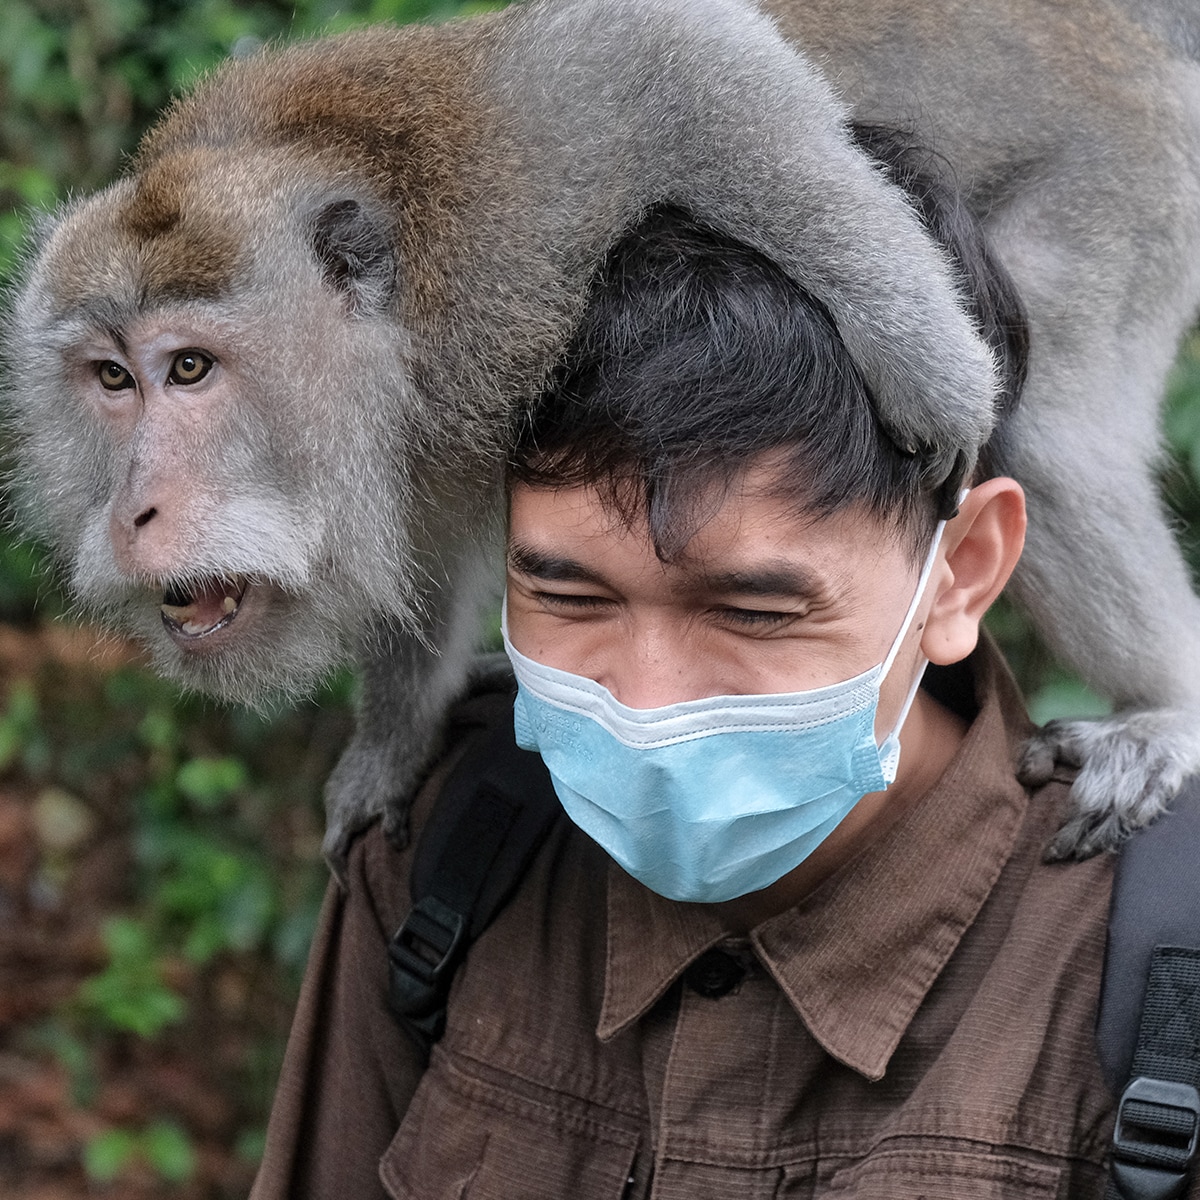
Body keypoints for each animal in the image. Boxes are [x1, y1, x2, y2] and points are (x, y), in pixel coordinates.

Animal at [2, 0, 1199, 874]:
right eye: (110, 378)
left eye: (189, 368)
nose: (136, 509)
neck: (396, 337)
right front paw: (393, 742)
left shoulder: (522, 202)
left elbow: (677, 58)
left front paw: (927, 359)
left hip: (1127, 192)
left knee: (1049, 442)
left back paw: (1169, 711)